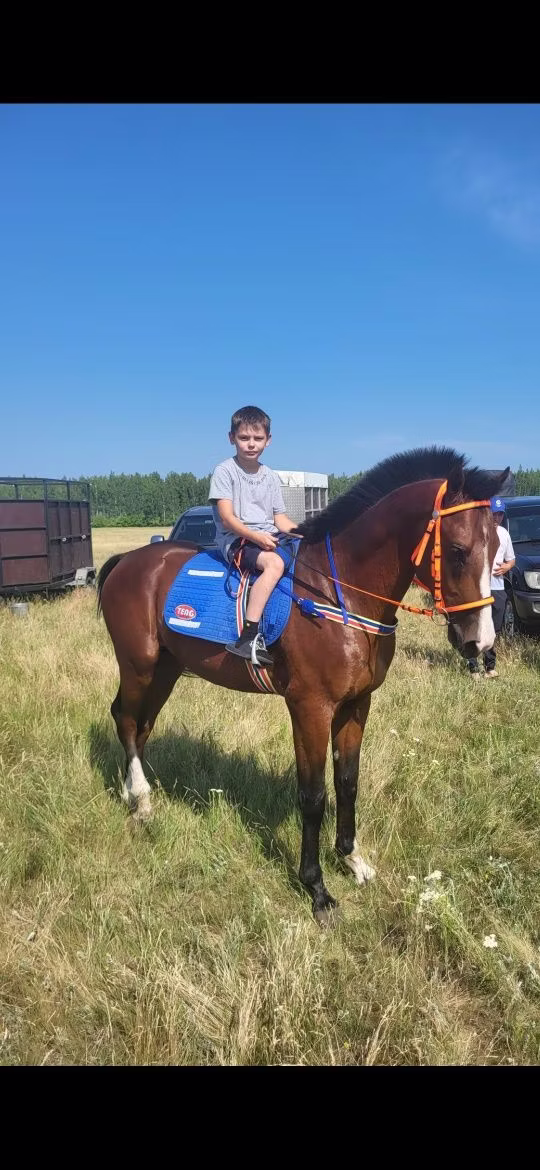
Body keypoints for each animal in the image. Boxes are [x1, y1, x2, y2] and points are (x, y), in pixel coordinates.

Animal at [97, 447, 508, 925]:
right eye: (458, 552)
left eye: (496, 549)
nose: (479, 642)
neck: (340, 590)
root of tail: (129, 560)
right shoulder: (310, 707)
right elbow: (313, 796)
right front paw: (317, 888)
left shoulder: (356, 705)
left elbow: (348, 783)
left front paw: (352, 860)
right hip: (139, 666)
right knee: (126, 719)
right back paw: (142, 801)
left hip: (165, 669)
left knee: (141, 725)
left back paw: (135, 793)